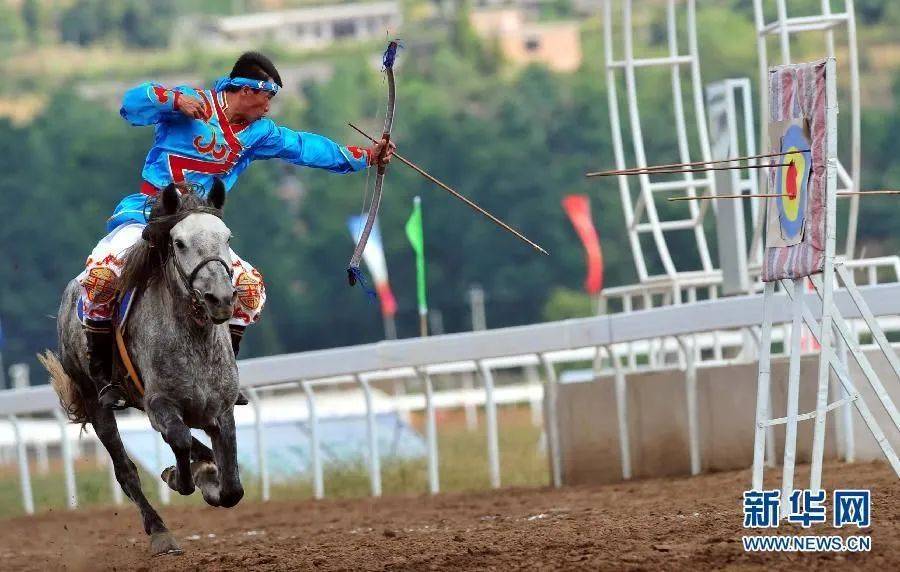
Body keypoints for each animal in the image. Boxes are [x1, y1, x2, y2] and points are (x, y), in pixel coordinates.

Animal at [40, 182, 244, 556]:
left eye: (226, 237)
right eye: (179, 243)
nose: (220, 298)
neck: (194, 340)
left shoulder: (220, 409)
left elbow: (232, 487)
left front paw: (209, 473)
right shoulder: (159, 403)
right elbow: (178, 440)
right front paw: (182, 477)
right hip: (96, 402)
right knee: (126, 471)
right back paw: (160, 530)